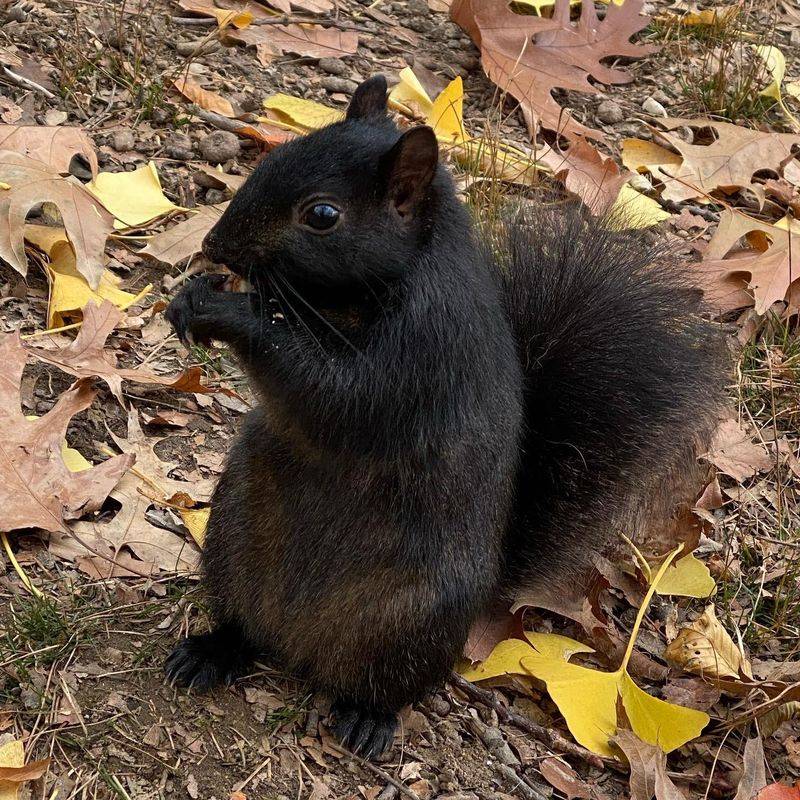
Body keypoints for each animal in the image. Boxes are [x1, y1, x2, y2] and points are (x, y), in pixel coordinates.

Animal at [164, 75, 724, 759]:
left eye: (322, 216)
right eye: (276, 155)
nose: (213, 246)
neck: (368, 289)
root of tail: (296, 643)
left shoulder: (424, 350)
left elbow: (335, 397)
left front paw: (230, 313)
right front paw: (192, 296)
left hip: (407, 622)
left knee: (386, 685)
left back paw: (366, 717)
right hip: (231, 541)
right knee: (243, 626)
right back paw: (214, 650)